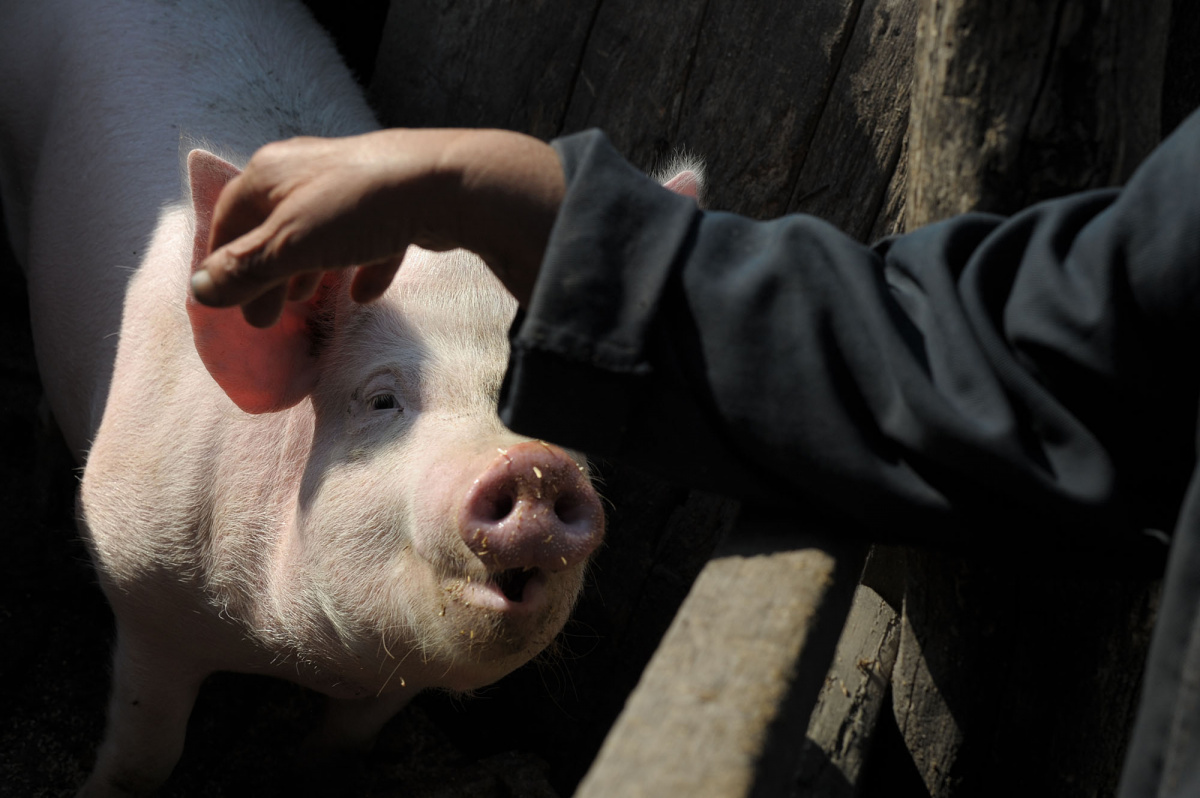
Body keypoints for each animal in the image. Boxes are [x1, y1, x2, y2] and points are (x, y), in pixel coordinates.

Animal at [0, 0, 600, 792]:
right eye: (382, 401)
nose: (536, 466)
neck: (297, 655)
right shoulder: (141, 585)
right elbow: (145, 755)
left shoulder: (399, 682)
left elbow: (342, 746)